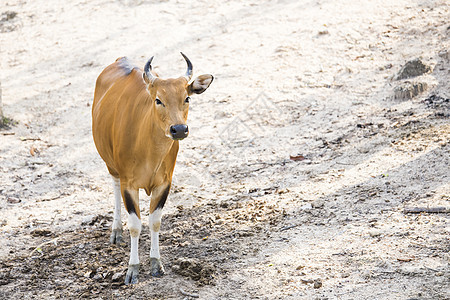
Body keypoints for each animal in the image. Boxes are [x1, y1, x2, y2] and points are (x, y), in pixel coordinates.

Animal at [92, 52, 214, 284]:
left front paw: (156, 263)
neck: (148, 151)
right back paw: (116, 230)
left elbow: (154, 222)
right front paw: (132, 268)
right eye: (158, 100)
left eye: (187, 98)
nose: (179, 129)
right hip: (110, 164)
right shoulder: (128, 184)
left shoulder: (164, 183)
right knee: (114, 186)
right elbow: (135, 225)